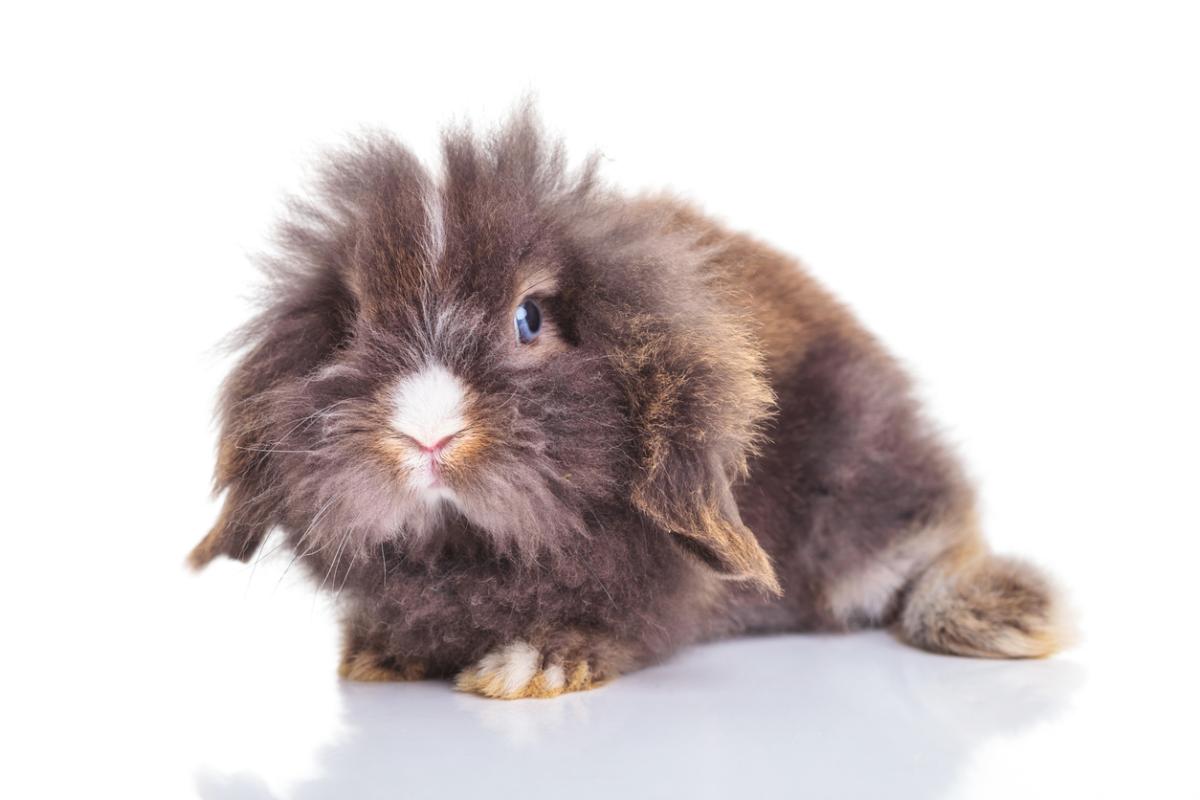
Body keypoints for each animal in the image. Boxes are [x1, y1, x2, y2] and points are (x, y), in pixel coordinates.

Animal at [189, 108, 1072, 699]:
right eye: (352, 326)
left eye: (530, 319)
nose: (426, 435)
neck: (466, 551)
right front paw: (379, 654)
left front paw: (533, 665)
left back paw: (1007, 617)